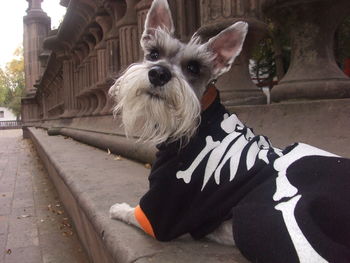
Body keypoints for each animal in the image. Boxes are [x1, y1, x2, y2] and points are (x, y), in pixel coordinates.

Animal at [109, 1, 350, 262]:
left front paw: (118, 208)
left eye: (193, 67)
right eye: (153, 53)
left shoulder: (162, 207)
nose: (158, 73)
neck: (200, 115)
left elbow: (134, 213)